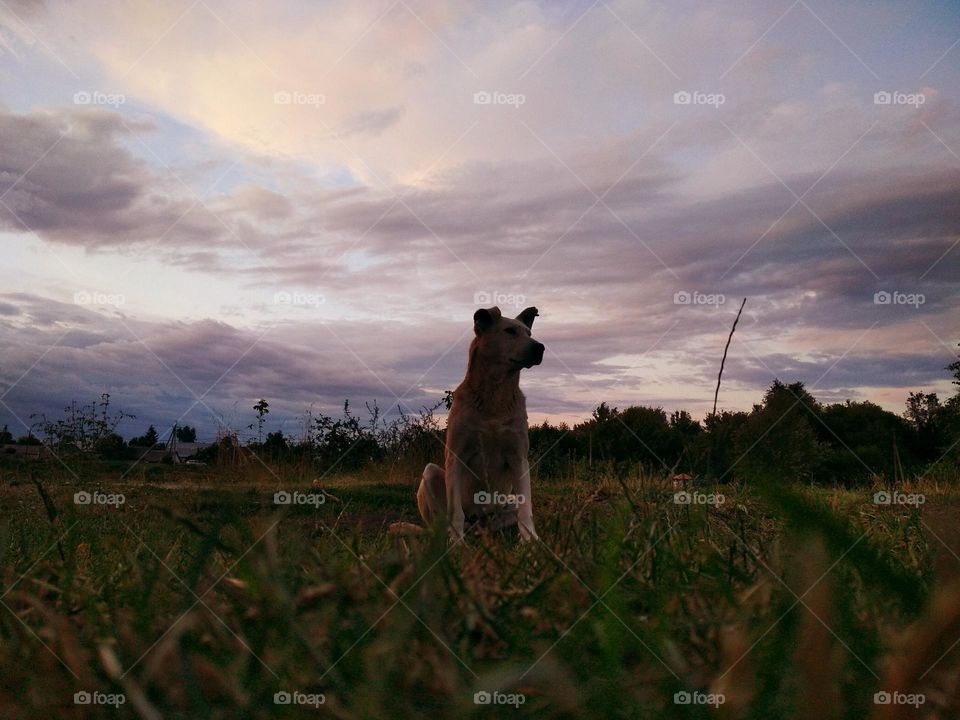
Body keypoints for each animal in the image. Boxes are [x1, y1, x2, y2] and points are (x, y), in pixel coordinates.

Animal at [416, 306, 544, 540]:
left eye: (529, 334)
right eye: (509, 331)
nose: (540, 347)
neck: (495, 397)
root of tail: (480, 523)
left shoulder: (519, 457)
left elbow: (526, 507)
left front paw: (530, 540)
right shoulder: (455, 456)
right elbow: (456, 511)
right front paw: (456, 542)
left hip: (505, 504)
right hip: (430, 472)